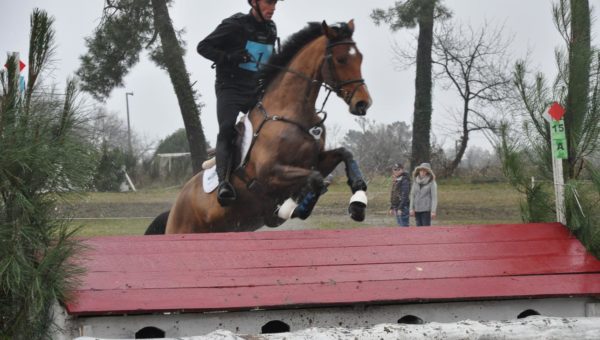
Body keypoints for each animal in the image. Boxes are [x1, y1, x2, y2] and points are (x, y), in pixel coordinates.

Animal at [163, 20, 370, 234]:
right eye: (341, 59)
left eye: (360, 58)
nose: (363, 103)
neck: (291, 111)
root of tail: (177, 203)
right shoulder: (269, 173)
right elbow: (316, 179)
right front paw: (293, 208)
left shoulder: (316, 160)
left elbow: (344, 155)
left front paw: (358, 201)